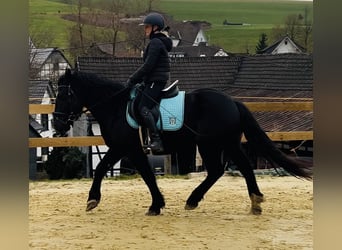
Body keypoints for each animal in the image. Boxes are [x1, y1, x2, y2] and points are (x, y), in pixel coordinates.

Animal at [53, 69, 312, 216]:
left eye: (64, 95)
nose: (57, 125)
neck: (115, 106)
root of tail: (232, 102)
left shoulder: (127, 147)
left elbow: (126, 172)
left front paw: (94, 200)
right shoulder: (125, 149)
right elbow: (133, 172)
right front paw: (156, 204)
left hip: (213, 144)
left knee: (224, 169)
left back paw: (200, 200)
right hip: (223, 144)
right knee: (233, 169)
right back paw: (251, 202)